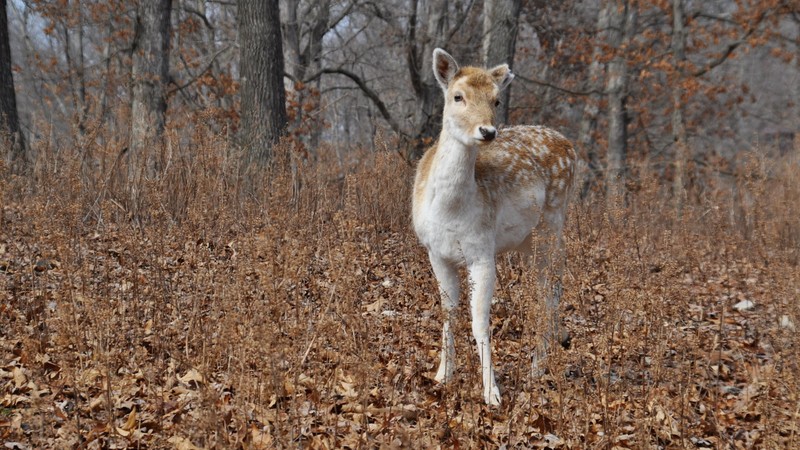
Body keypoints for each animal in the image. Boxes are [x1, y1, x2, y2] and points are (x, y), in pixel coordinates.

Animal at [412, 48, 576, 404]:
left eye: (497, 99)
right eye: (457, 96)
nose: (487, 131)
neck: (450, 212)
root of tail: (569, 144)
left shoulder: (482, 251)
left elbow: (479, 322)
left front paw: (492, 393)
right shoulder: (436, 253)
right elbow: (448, 312)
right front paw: (442, 375)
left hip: (553, 221)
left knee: (549, 288)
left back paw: (538, 367)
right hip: (527, 240)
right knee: (548, 287)